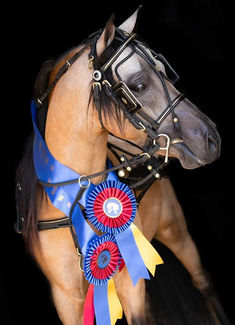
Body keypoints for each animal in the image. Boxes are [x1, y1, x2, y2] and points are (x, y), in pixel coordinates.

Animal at [15, 7, 223, 324]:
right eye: (138, 85)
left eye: (165, 72)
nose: (211, 138)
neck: (77, 199)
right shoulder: (66, 297)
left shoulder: (130, 280)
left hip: (175, 229)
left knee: (203, 283)